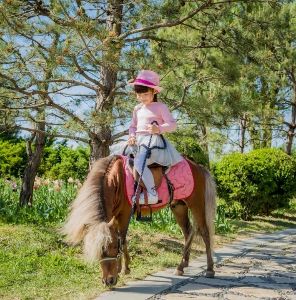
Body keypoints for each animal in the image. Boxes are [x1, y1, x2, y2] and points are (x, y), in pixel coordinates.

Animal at [61, 156, 216, 288]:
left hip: (196, 205)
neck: (117, 179)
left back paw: (209, 269)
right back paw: (181, 266)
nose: (108, 281)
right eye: (99, 250)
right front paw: (124, 268)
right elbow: (122, 239)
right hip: (178, 206)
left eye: (113, 247)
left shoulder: (124, 214)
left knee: (205, 233)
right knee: (188, 232)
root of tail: (198, 167)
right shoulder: (115, 216)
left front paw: (122, 269)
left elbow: (122, 239)